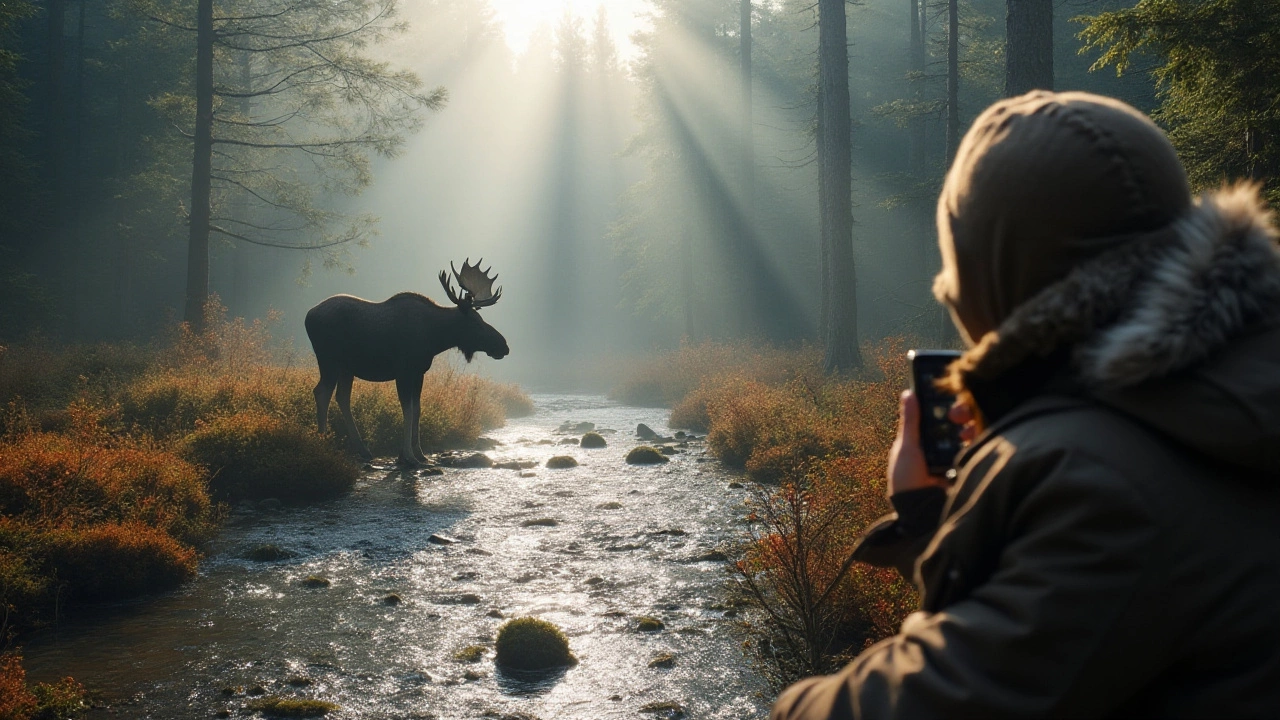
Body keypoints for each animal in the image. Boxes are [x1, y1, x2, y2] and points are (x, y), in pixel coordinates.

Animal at [304, 257, 509, 466]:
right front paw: (408, 456)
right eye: (476, 322)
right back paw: (323, 443)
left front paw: (419, 454)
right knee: (322, 392)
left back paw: (363, 450)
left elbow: (417, 409)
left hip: (347, 368)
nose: (503, 346)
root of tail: (308, 316)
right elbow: (407, 410)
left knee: (342, 397)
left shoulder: (419, 373)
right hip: (328, 360)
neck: (435, 338)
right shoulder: (403, 372)